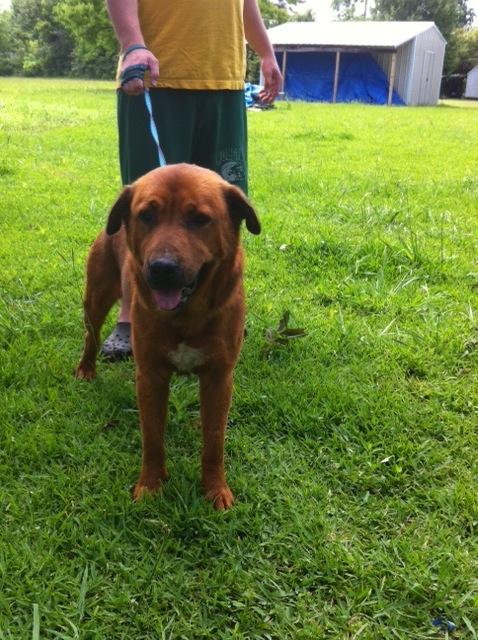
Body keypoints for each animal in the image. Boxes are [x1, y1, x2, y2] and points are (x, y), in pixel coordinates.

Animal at [76, 165, 260, 510]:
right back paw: (85, 370)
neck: (186, 316)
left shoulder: (219, 377)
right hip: (96, 298)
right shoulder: (150, 376)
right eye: (146, 215)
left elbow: (214, 440)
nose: (162, 268)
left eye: (200, 219)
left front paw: (215, 489)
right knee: (90, 337)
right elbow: (152, 437)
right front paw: (150, 485)